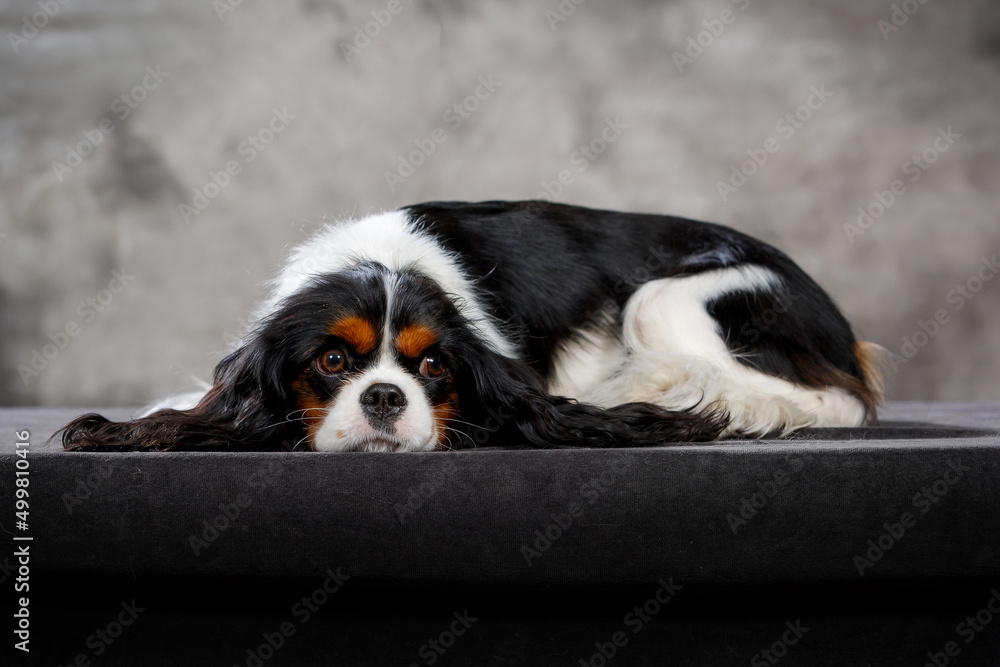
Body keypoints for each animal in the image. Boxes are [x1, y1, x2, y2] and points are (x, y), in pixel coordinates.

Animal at [58, 201, 888, 452]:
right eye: (332, 361)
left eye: (433, 368)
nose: (385, 397)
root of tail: (843, 329)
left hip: (665, 302)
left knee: (834, 403)